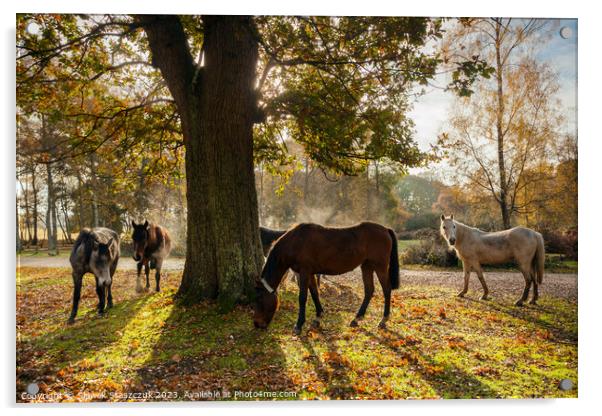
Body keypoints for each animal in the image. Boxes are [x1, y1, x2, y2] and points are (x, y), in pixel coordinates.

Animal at [253, 221, 398, 334]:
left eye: (259, 299)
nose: (257, 324)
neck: (296, 242)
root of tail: (385, 229)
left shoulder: (304, 272)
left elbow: (303, 298)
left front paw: (299, 325)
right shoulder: (309, 273)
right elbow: (315, 294)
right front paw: (318, 317)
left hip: (380, 267)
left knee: (386, 290)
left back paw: (383, 320)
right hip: (367, 266)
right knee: (369, 290)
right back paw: (357, 318)